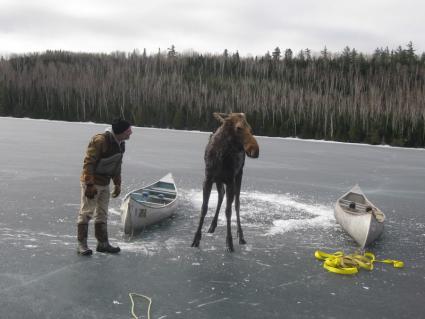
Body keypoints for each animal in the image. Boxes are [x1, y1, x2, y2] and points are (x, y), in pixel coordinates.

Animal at [191, 112, 258, 252]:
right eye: (239, 128)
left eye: (250, 128)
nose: (255, 150)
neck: (220, 155)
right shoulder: (208, 179)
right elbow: (204, 208)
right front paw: (196, 239)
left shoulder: (230, 180)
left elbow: (228, 211)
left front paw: (229, 242)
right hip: (219, 180)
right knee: (221, 195)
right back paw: (212, 225)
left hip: (238, 175)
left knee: (236, 203)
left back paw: (240, 235)